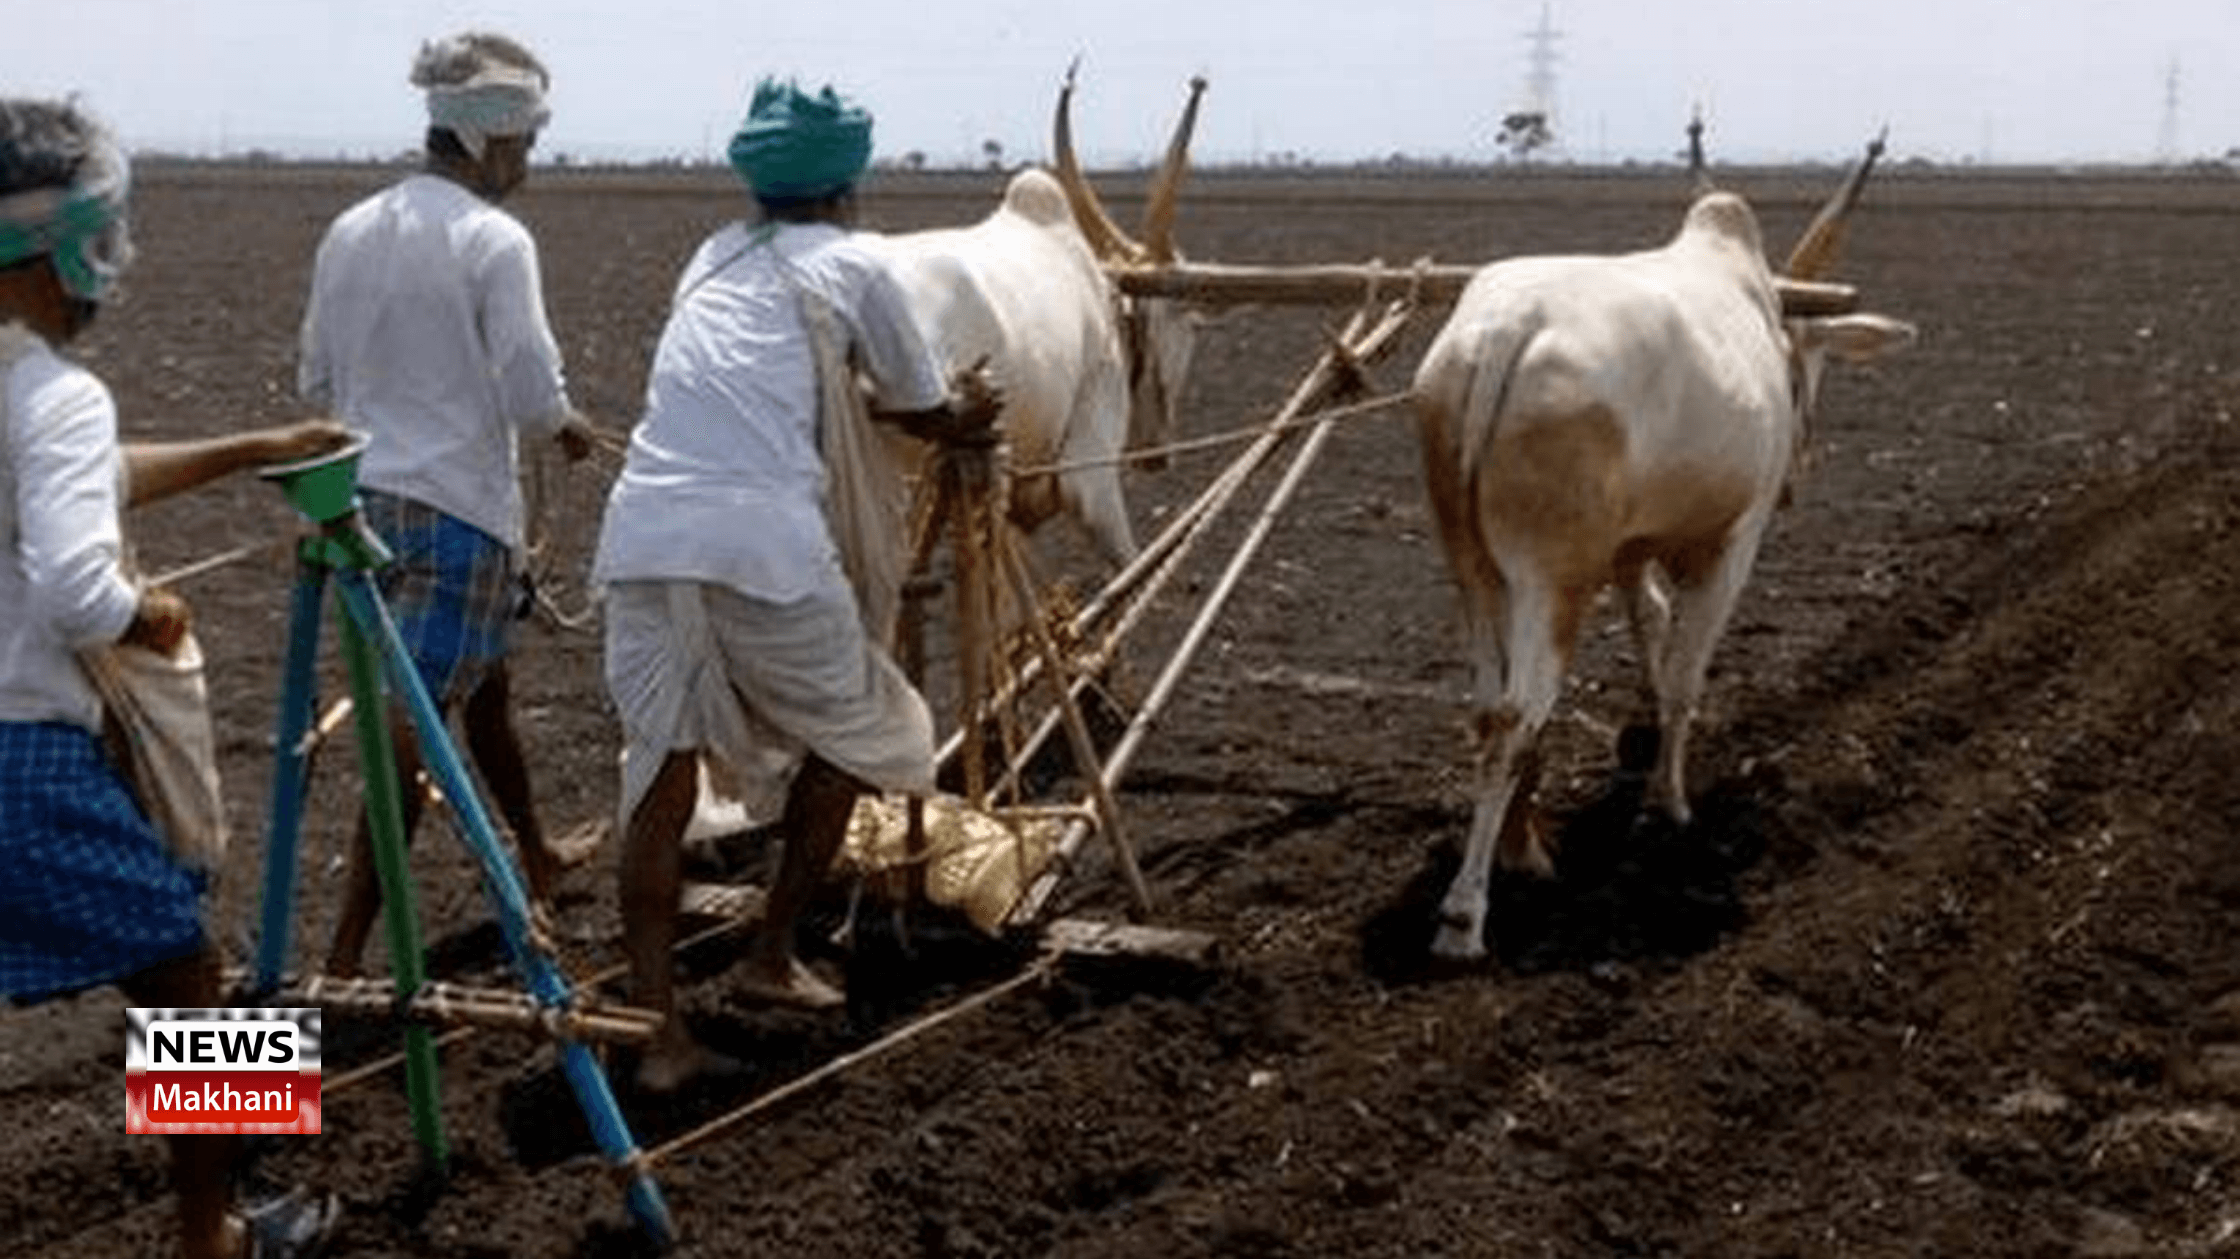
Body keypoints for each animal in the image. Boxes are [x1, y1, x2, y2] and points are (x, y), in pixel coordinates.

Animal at [1411, 142, 1917, 960]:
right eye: (1810, 358)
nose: (1801, 471)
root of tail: (1507, 330)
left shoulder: (1628, 550)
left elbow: (1649, 625)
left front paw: (1640, 740)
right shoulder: (1730, 546)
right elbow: (1684, 674)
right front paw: (1670, 802)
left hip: (1473, 567)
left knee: (1492, 710)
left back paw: (1527, 851)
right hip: (1556, 575)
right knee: (1518, 715)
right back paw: (1465, 914)